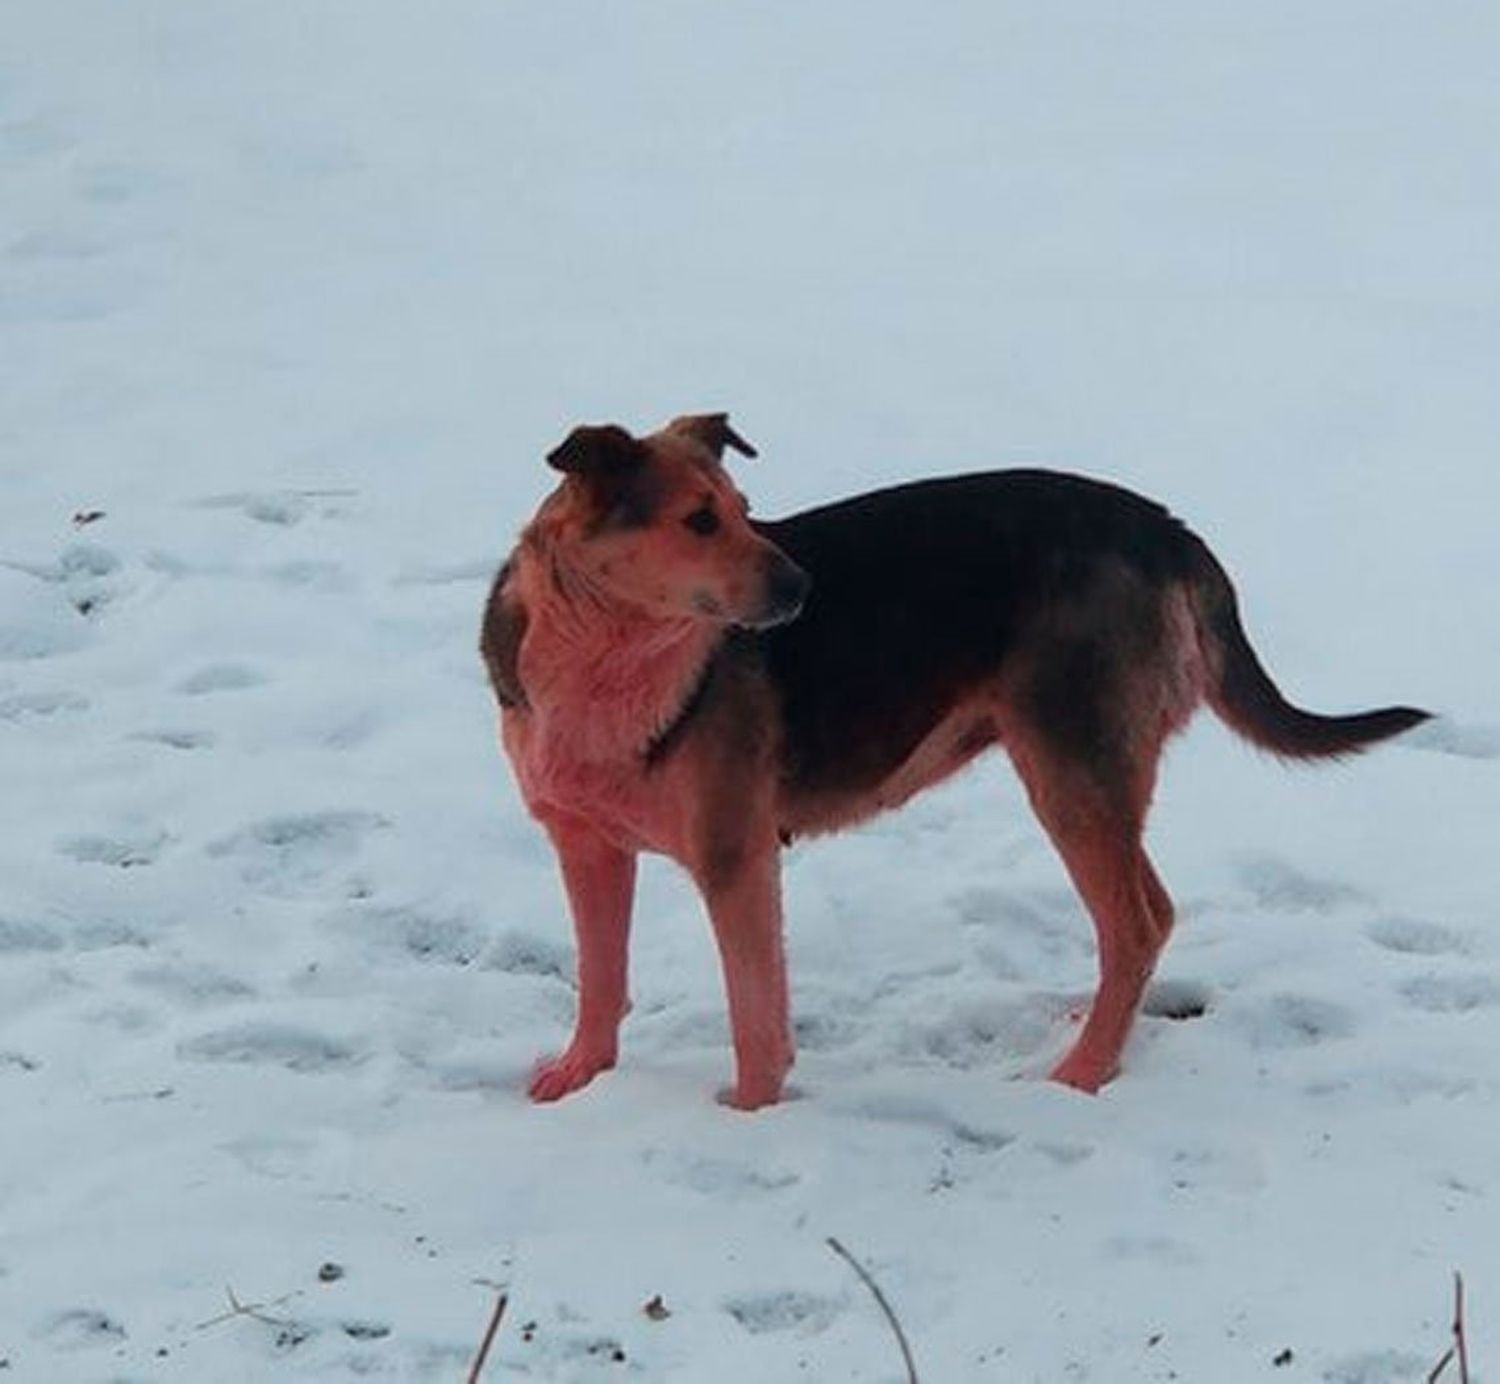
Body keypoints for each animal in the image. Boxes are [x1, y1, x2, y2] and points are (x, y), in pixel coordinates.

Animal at [483, 416, 1428, 1109]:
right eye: (699, 521)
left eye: (745, 507)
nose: (805, 591)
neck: (606, 655)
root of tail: (1171, 535)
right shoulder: (585, 845)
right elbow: (600, 978)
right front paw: (578, 1081)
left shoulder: (734, 858)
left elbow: (755, 1018)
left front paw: (750, 1118)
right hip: (1081, 773)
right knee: (1141, 918)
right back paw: (1096, 1026)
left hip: (1069, 768)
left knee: (1137, 919)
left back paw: (1082, 1074)